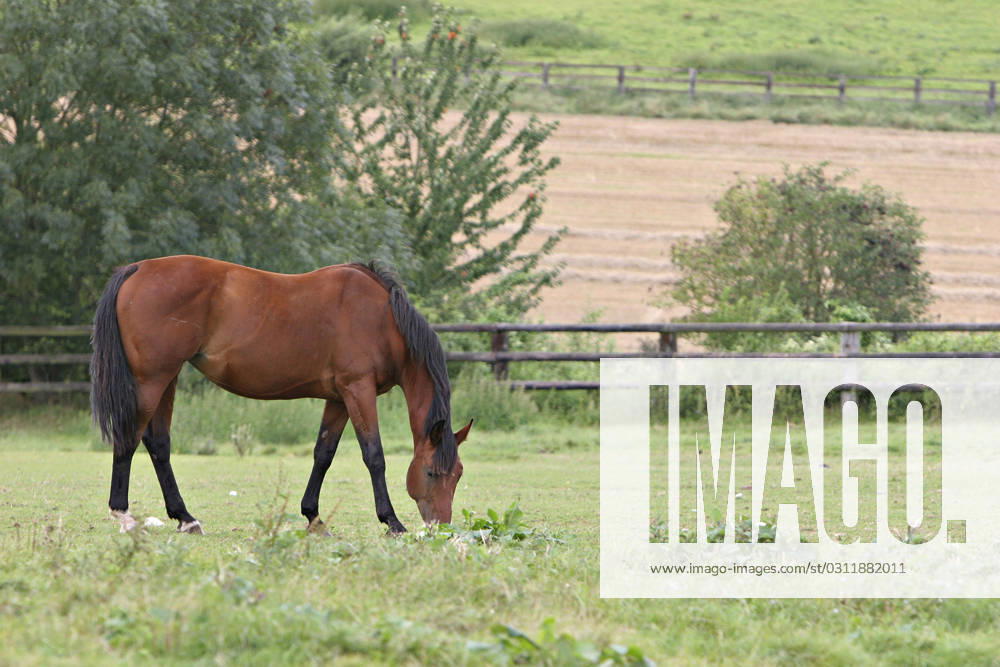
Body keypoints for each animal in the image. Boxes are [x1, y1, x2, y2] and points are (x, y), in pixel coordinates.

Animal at [90, 255, 473, 535]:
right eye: (431, 473)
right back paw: (124, 515)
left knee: (158, 444)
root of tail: (138, 269)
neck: (383, 319)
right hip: (151, 380)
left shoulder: (339, 398)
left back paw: (185, 517)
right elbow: (374, 456)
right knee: (130, 438)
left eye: (458, 475)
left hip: (165, 380)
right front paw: (392, 521)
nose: (441, 526)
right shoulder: (358, 390)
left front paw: (313, 517)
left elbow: (323, 454)